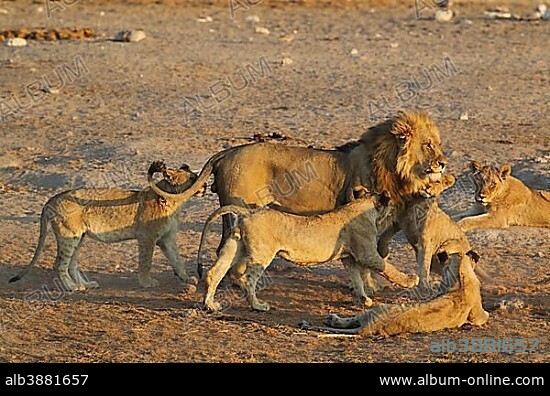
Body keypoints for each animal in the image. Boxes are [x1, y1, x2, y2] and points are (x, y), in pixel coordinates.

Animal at [9, 160, 205, 290]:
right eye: (193, 179)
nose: (205, 186)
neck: (174, 200)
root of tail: (52, 199)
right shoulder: (147, 238)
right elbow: (146, 262)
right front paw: (146, 282)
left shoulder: (167, 237)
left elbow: (177, 259)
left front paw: (187, 278)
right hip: (69, 236)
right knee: (59, 265)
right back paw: (72, 287)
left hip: (78, 237)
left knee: (72, 263)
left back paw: (86, 284)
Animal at [150, 110, 448, 290]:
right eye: (428, 145)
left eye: (438, 144)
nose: (443, 163)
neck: (392, 167)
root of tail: (227, 152)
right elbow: (372, 258)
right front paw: (373, 286)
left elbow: (378, 254)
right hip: (240, 208)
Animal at [201, 189, 420, 312]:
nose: (396, 210)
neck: (362, 206)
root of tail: (248, 211)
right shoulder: (367, 253)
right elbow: (388, 267)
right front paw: (411, 280)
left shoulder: (348, 257)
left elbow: (356, 279)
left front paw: (363, 299)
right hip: (262, 254)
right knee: (248, 278)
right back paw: (258, 306)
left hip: (234, 246)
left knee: (215, 272)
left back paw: (210, 305)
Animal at [302, 249, 492, 336]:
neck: (460, 274)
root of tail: (370, 327)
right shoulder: (478, 314)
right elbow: (485, 315)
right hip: (382, 308)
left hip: (375, 311)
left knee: (352, 320)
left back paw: (332, 319)